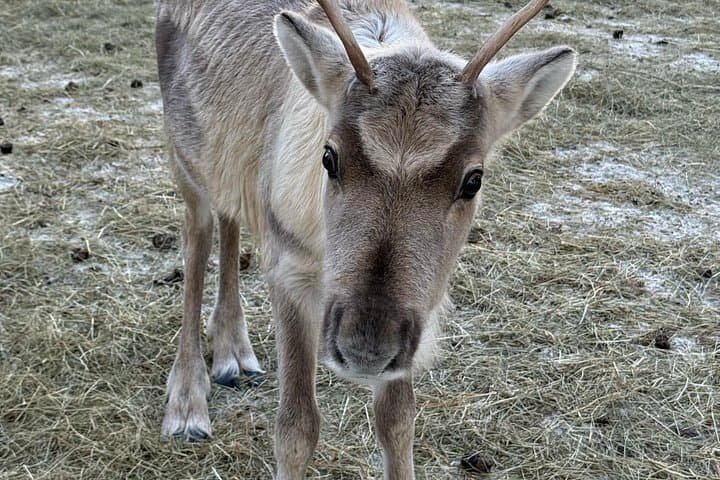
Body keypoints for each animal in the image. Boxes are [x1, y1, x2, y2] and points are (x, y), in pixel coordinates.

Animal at [155, 0, 575, 478]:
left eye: (473, 180)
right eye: (328, 157)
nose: (366, 345)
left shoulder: (415, 318)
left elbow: (398, 422)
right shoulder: (288, 269)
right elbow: (296, 428)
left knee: (229, 221)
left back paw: (233, 351)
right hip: (184, 159)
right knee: (198, 238)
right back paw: (187, 402)